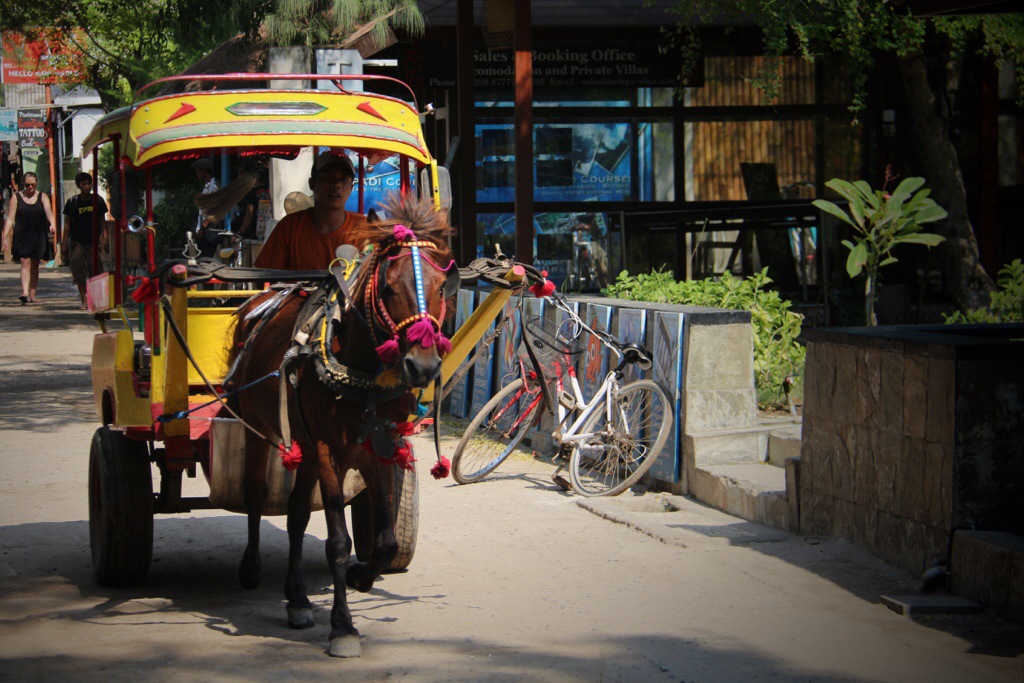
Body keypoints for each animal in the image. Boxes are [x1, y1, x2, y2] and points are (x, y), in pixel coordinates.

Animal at [232, 193, 460, 655]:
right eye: (388, 287)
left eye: (441, 286)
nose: (423, 366)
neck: (363, 371)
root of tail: (255, 306)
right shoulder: (326, 450)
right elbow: (338, 541)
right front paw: (342, 626)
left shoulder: (380, 445)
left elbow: (386, 539)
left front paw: (362, 576)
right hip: (258, 428)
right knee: (255, 494)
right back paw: (251, 568)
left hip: (302, 448)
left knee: (297, 513)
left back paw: (297, 599)